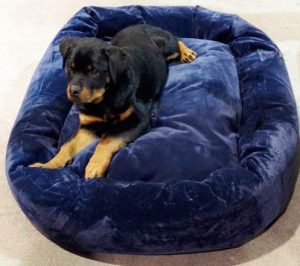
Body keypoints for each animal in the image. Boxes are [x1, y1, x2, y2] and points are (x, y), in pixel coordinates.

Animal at [30, 24, 197, 179]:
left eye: (93, 71)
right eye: (70, 68)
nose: (73, 91)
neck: (103, 100)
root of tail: (144, 24)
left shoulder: (139, 118)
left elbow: (108, 138)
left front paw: (94, 166)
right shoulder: (89, 126)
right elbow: (67, 145)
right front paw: (48, 165)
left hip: (168, 46)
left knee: (176, 40)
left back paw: (187, 53)